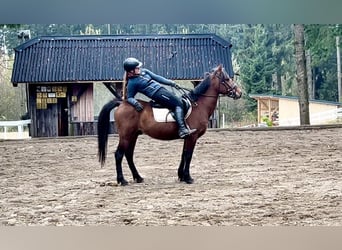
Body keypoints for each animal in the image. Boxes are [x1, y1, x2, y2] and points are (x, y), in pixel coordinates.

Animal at [96, 64, 242, 186]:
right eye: (227, 79)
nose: (239, 92)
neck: (198, 105)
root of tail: (122, 103)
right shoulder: (192, 136)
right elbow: (188, 155)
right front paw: (188, 178)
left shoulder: (187, 137)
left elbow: (183, 154)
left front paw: (181, 176)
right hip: (126, 136)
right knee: (119, 154)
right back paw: (122, 180)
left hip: (133, 135)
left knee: (129, 154)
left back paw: (138, 177)